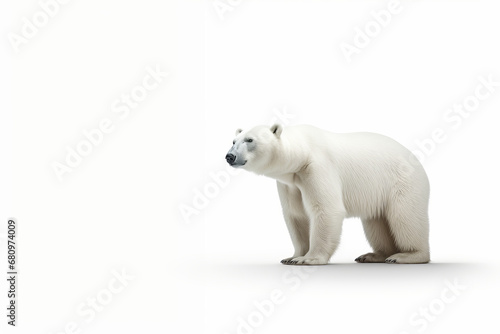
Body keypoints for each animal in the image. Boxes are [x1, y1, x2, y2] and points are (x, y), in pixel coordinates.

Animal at [226, 124, 430, 264]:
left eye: (250, 140)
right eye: (234, 141)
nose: (230, 156)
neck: (302, 152)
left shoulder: (317, 168)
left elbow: (326, 209)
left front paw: (308, 259)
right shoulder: (290, 183)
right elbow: (296, 216)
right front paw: (292, 257)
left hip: (403, 182)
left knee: (404, 217)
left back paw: (406, 255)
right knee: (376, 222)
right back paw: (374, 255)